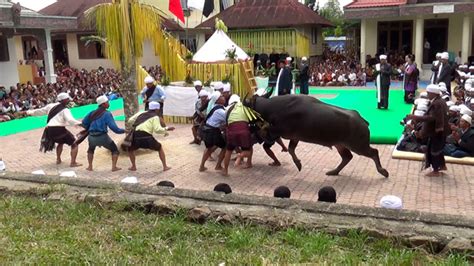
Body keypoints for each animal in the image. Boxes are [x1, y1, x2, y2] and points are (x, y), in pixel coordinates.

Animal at [244, 90, 388, 178]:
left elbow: (267, 133)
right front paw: (298, 164)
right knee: (347, 157)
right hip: (340, 145)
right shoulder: (294, 137)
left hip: (358, 146)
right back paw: (334, 172)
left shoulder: (279, 130)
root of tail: (362, 120)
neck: (275, 107)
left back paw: (383, 171)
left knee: (373, 152)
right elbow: (291, 149)